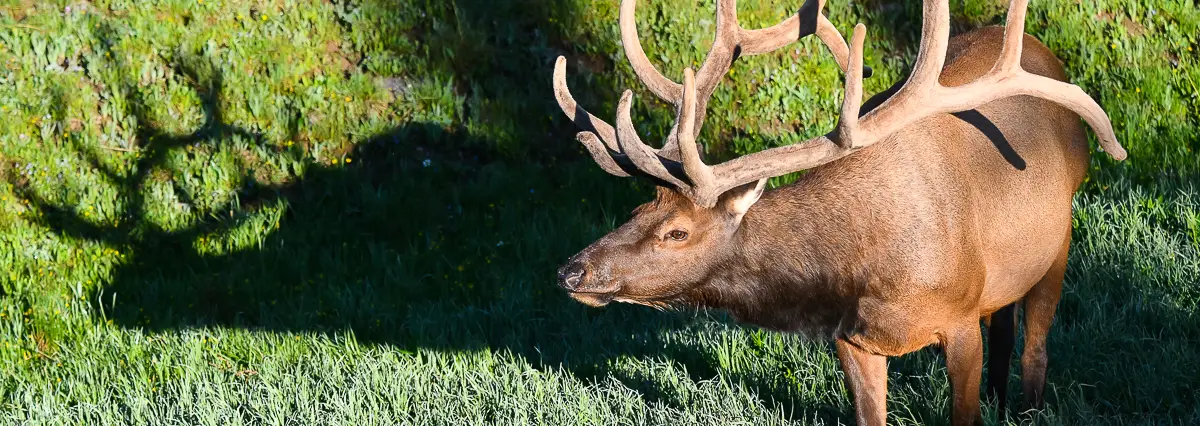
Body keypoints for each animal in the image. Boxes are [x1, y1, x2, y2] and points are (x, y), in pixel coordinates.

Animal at [550, 0, 1127, 424]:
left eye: (677, 232)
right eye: (637, 208)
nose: (570, 271)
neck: (862, 272)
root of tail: (1047, 53)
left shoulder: (960, 317)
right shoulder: (851, 338)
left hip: (1059, 241)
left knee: (1036, 349)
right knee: (1007, 327)